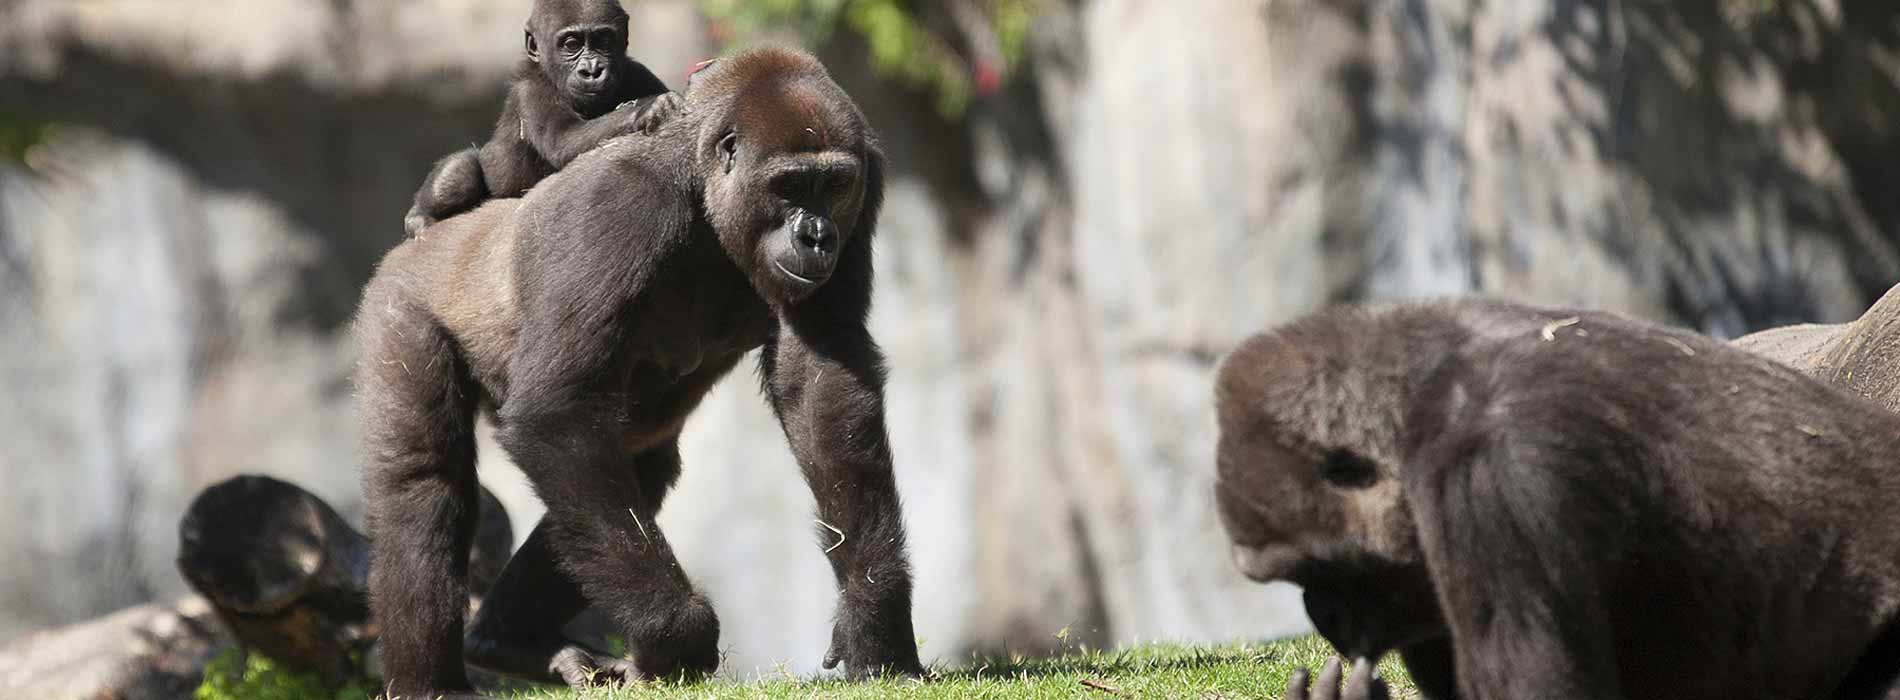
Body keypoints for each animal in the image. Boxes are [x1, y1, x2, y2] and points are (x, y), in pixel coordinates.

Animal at [354, 47, 922, 698]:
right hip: (400, 299)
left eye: (833, 185)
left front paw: (874, 617)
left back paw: (503, 640)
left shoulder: (866, 177)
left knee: (630, 470)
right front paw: (676, 636)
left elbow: (822, 382)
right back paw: (431, 680)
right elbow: (556, 411)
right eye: (790, 186)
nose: (818, 236)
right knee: (424, 486)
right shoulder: (620, 203)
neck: (701, 177)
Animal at [400, 0, 681, 237]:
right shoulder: (533, 91)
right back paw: (420, 215)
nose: (592, 71)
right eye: (571, 44)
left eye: (603, 41)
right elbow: (563, 140)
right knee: (463, 169)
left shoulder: (640, 74)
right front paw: (647, 108)